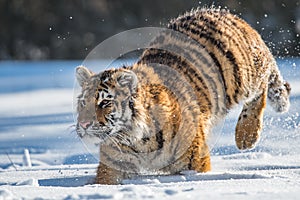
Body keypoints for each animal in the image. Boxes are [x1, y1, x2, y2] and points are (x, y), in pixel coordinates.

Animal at [75, 8, 290, 186]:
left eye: (105, 102)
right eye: (83, 103)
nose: (84, 125)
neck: (136, 140)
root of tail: (224, 13)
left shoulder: (195, 161)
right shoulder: (112, 166)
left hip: (242, 76)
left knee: (263, 84)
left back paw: (246, 135)